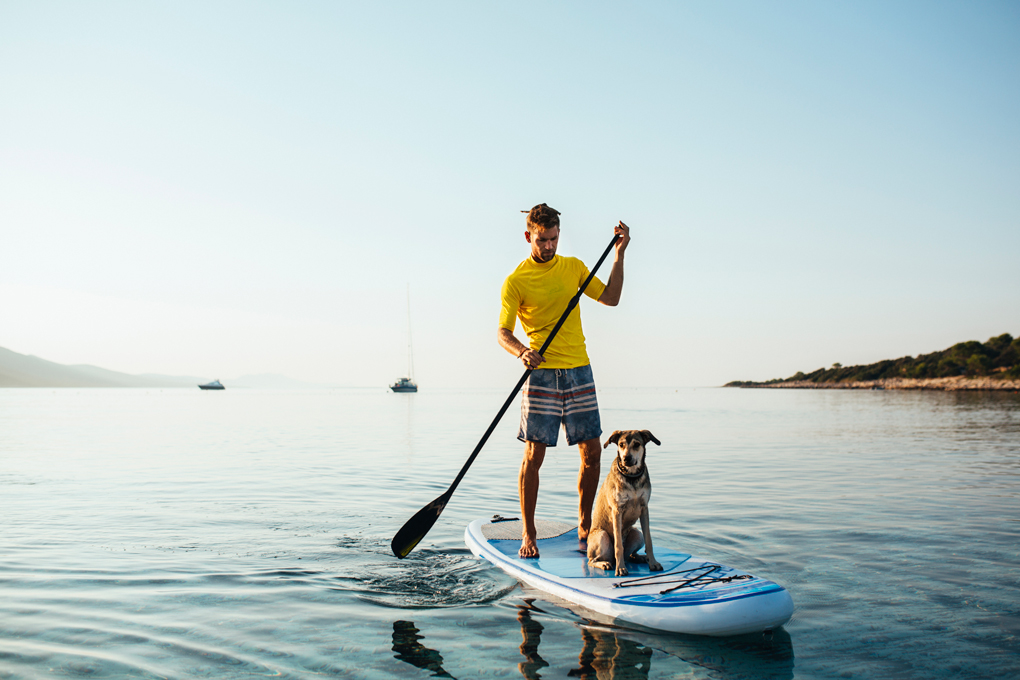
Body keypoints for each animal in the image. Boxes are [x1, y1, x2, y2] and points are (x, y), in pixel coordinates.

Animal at [587, 430, 665, 574]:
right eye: (621, 444)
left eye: (637, 444)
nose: (626, 458)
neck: (632, 476)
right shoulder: (617, 510)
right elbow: (618, 545)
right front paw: (621, 568)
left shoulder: (644, 509)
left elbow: (649, 540)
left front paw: (653, 563)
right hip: (602, 536)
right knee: (592, 560)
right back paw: (604, 563)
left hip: (637, 533)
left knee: (629, 554)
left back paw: (640, 557)